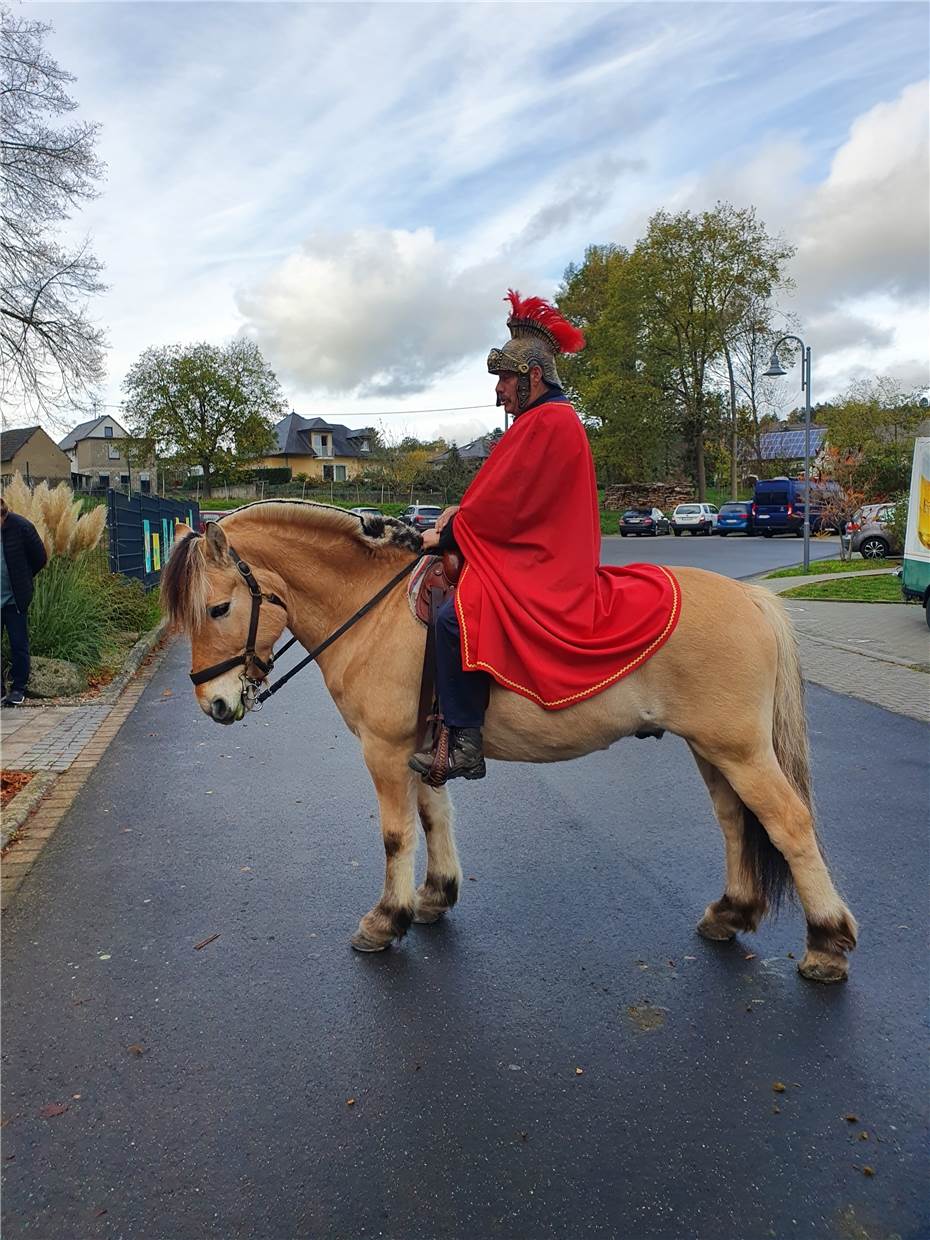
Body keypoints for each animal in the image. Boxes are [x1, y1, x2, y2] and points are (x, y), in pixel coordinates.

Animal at [159, 498, 858, 982]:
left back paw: (827, 943)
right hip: (712, 750)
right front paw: (434, 895)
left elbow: (397, 835)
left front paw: (386, 920)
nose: (213, 704)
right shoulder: (417, 747)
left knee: (790, 824)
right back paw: (732, 911)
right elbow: (434, 816)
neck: (372, 613)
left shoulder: (383, 749)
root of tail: (751, 598)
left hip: (740, 750)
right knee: (737, 823)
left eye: (218, 609)